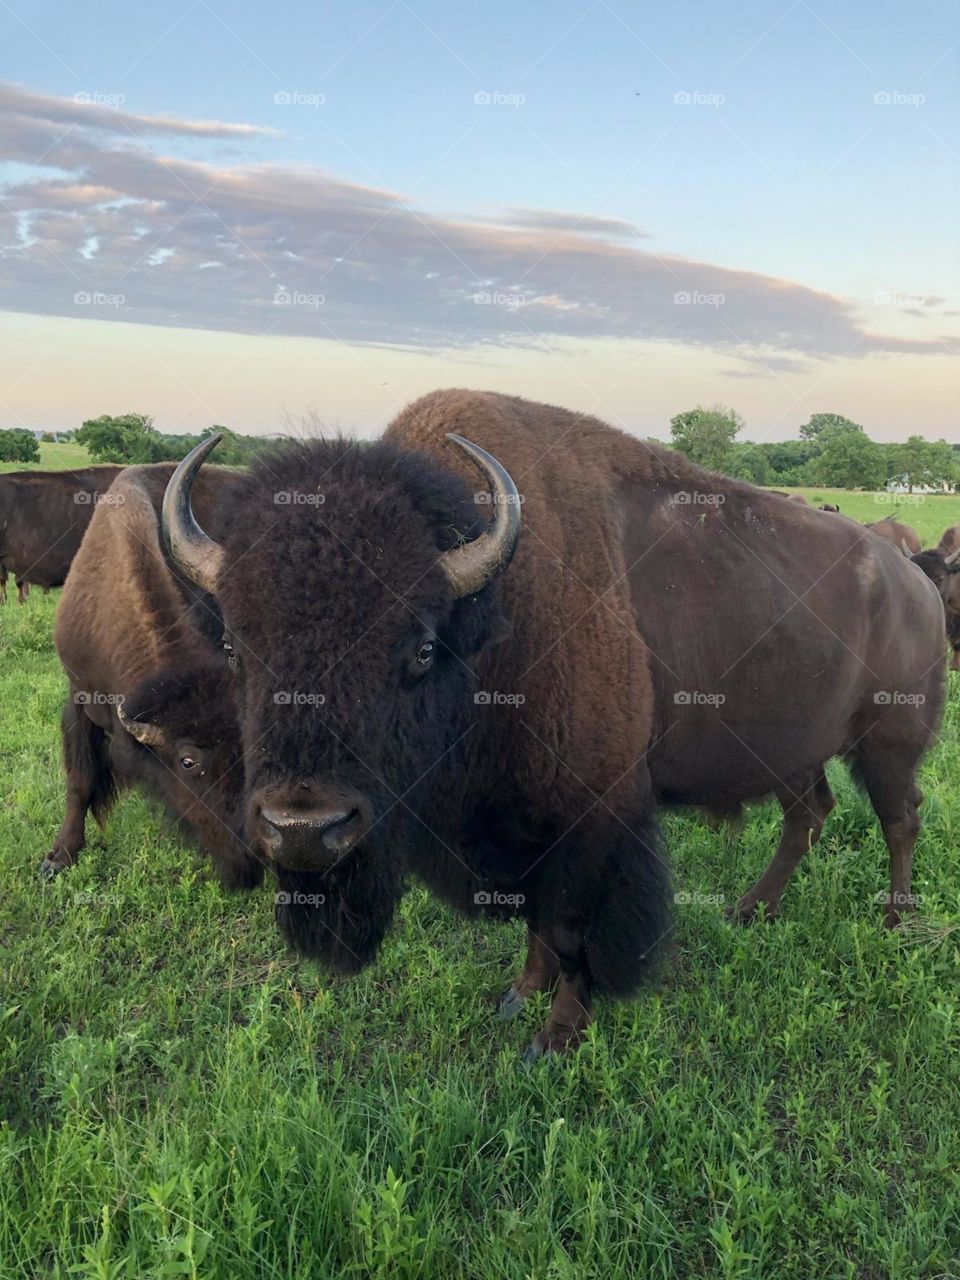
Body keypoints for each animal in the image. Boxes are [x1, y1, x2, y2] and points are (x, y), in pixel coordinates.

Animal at [159, 390, 945, 1059]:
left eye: (421, 648)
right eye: (234, 646)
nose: (303, 828)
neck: (498, 618)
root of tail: (914, 579)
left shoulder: (589, 818)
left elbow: (570, 928)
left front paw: (557, 1037)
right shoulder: (525, 824)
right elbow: (537, 920)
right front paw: (518, 997)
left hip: (888, 744)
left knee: (899, 818)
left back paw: (892, 924)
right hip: (794, 753)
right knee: (809, 814)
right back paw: (751, 911)